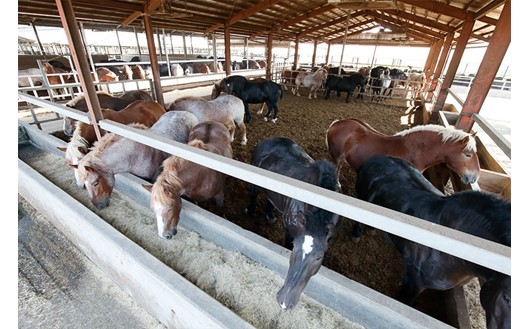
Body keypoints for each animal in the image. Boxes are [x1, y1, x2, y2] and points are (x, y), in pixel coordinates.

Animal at [244, 136, 340, 310]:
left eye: (319, 257)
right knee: (254, 194)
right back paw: (249, 210)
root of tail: (270, 139)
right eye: (295, 248)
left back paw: (270, 215)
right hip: (256, 183)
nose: (284, 302)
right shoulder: (290, 231)